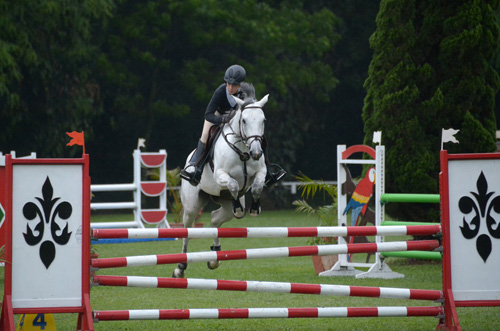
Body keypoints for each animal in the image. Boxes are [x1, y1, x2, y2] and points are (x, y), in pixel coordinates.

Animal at [175, 85, 272, 278]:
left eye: (263, 120)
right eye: (244, 121)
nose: (256, 153)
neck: (243, 150)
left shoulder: (260, 172)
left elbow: (257, 187)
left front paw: (255, 208)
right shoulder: (221, 175)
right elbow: (233, 184)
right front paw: (242, 207)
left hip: (224, 204)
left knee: (215, 219)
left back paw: (214, 257)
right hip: (192, 206)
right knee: (187, 229)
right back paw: (180, 267)